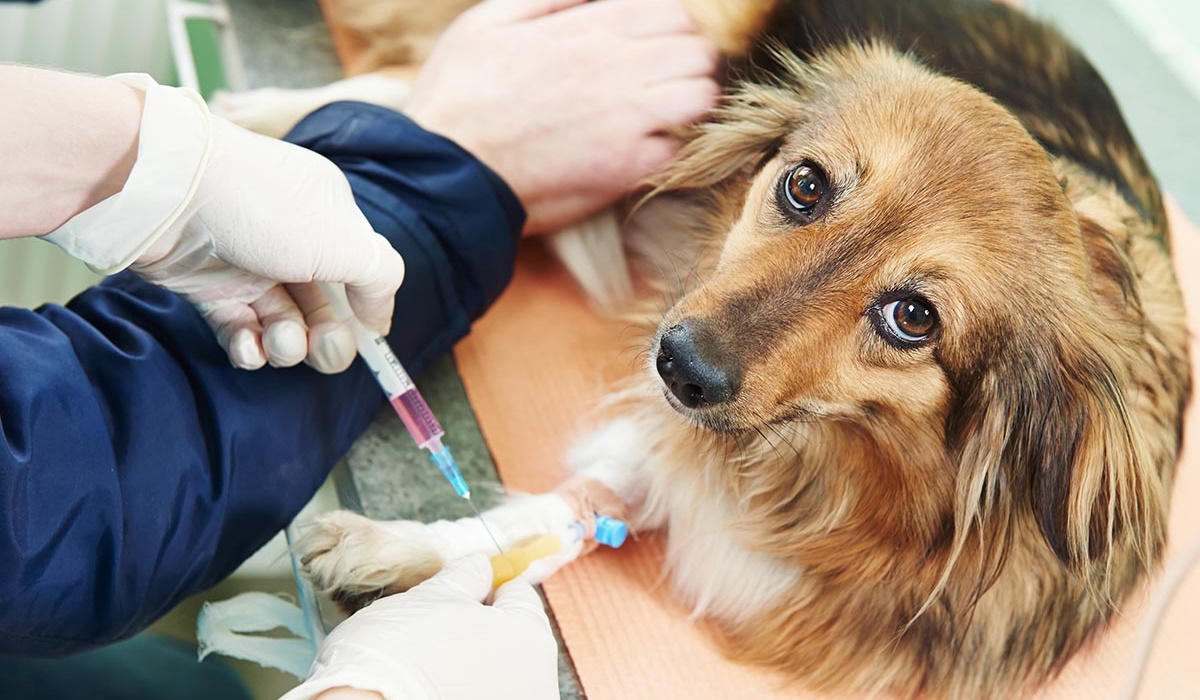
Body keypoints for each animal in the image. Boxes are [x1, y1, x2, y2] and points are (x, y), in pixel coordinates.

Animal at [274, 0, 1190, 696]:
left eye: (915, 318)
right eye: (805, 184)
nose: (678, 366)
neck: (824, 469)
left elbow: (572, 517)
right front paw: (411, 544)